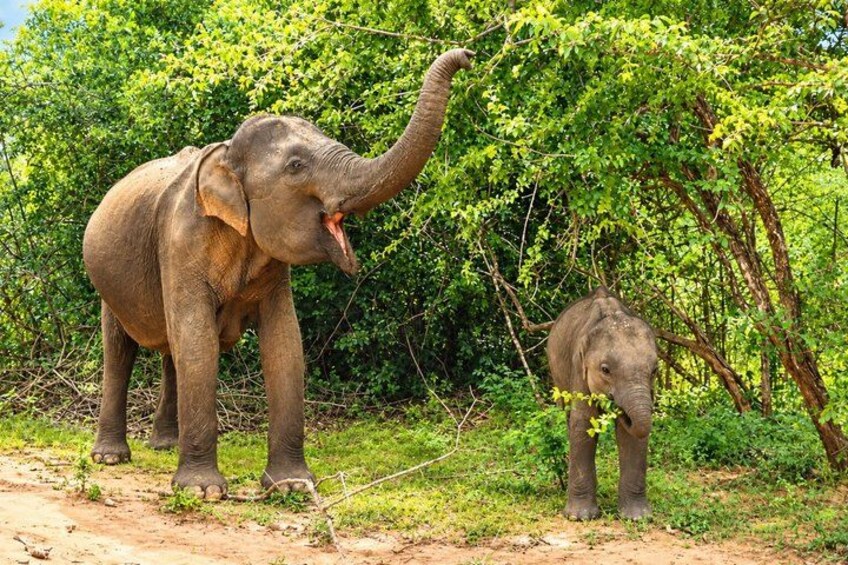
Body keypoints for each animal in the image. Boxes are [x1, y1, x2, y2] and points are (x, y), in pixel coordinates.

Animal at [82, 49, 473, 499]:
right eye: (296, 165)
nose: (468, 55)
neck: (226, 155)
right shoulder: (180, 243)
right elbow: (200, 341)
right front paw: (202, 492)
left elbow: (284, 343)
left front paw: (291, 486)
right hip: (107, 283)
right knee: (120, 350)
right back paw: (110, 457)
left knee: (170, 350)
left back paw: (163, 446)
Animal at [546, 286, 657, 520]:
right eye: (605, 370)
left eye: (654, 370)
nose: (619, 409)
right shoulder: (577, 366)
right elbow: (583, 423)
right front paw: (579, 517)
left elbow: (630, 435)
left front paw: (637, 517)